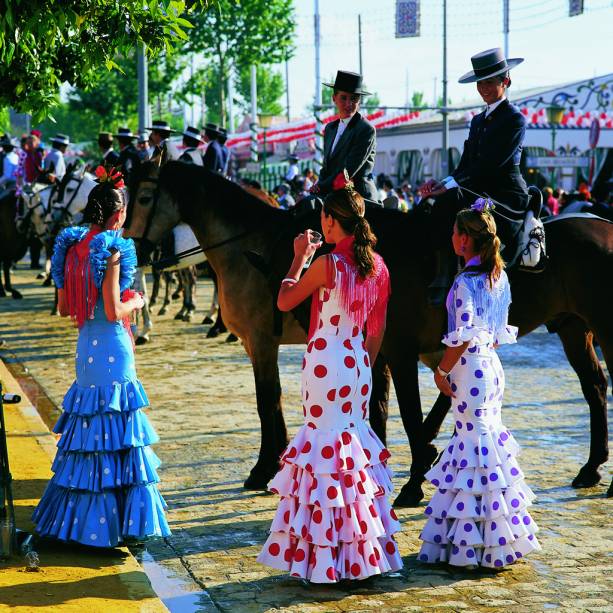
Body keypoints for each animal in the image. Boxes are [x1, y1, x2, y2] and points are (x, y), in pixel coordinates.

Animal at [126, 160, 608, 504]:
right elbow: (370, 408)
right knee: (594, 386)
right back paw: (590, 467)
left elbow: (270, 402)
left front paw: (265, 468)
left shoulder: (268, 342)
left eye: (146, 195)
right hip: (572, 328)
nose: (135, 249)